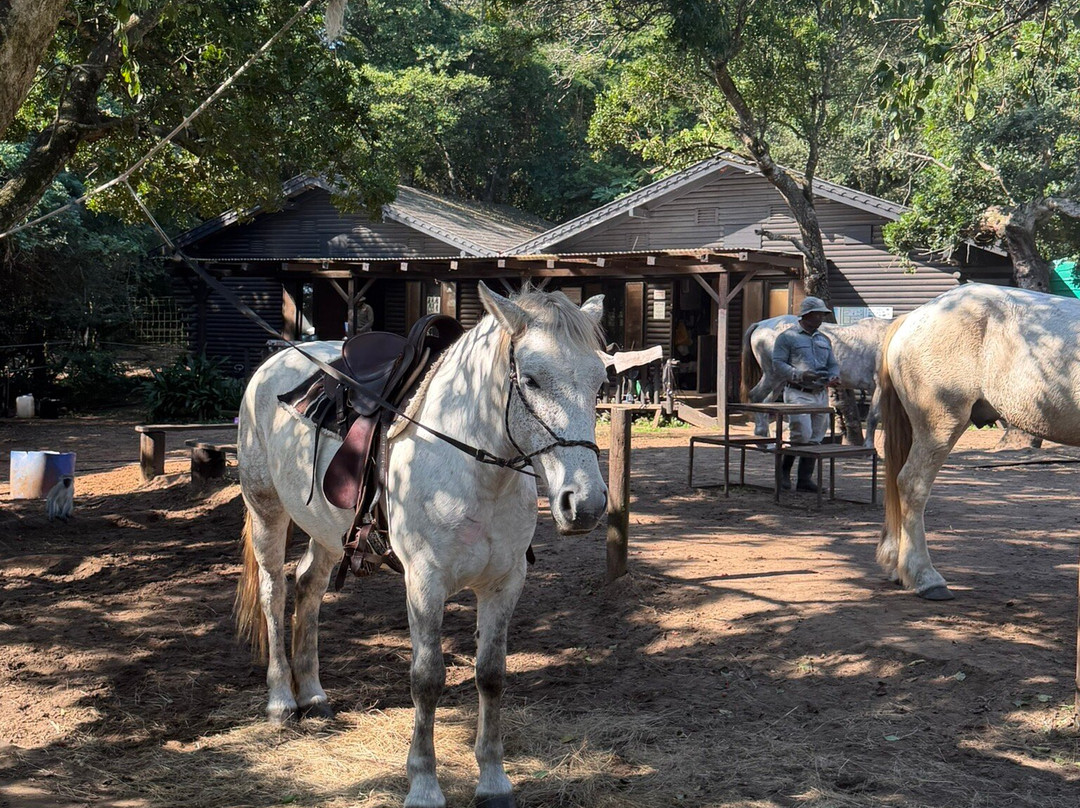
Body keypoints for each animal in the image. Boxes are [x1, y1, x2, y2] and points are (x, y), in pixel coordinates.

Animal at [234, 283, 609, 808]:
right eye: (532, 380)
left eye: (600, 382)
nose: (587, 504)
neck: (474, 467)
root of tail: (276, 361)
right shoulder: (425, 583)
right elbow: (427, 680)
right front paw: (424, 785)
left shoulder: (504, 583)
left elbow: (491, 674)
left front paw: (493, 781)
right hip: (267, 512)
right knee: (275, 594)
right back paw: (282, 702)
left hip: (327, 532)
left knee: (308, 588)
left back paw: (313, 695)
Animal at [740, 314, 893, 447]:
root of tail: (761, 324)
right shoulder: (880, 387)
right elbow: (873, 417)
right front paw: (869, 447)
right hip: (773, 375)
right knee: (756, 396)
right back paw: (761, 438)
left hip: (780, 379)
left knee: (766, 403)